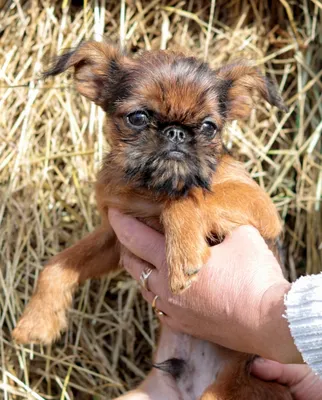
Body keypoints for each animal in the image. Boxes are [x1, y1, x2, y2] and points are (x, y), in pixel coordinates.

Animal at [12, 42, 290, 398]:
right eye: (138, 117)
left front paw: (183, 255)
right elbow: (59, 264)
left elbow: (185, 200)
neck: (154, 189)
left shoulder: (260, 206)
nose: (177, 132)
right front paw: (37, 321)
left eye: (209, 127)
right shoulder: (115, 234)